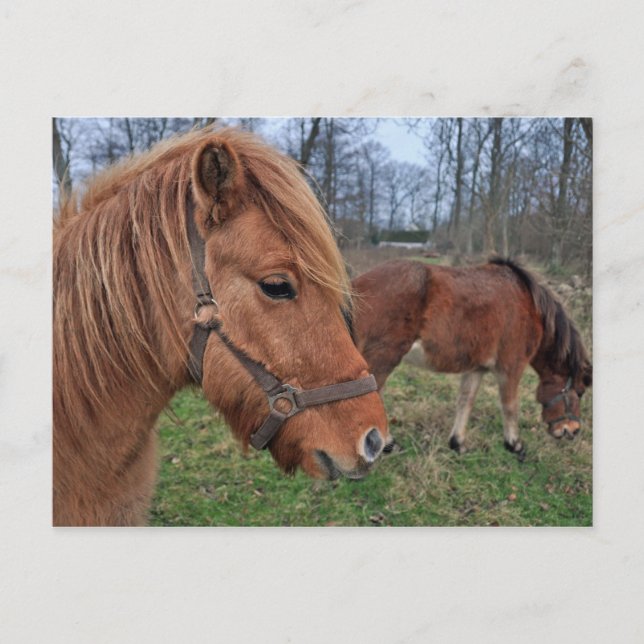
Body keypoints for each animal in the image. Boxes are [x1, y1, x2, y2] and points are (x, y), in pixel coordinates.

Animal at [351, 258, 592, 460]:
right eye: (579, 392)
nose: (572, 431)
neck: (528, 305)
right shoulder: (511, 368)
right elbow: (510, 406)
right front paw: (514, 445)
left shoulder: (476, 368)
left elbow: (465, 401)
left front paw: (457, 443)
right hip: (384, 357)